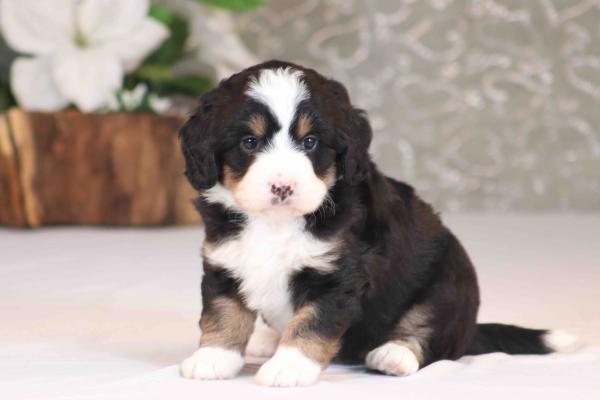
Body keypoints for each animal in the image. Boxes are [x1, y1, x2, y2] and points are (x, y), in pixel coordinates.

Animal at [177, 61, 572, 386]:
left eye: (310, 142)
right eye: (249, 142)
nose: (282, 186)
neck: (276, 224)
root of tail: (470, 327)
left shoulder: (337, 275)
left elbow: (311, 322)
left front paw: (289, 366)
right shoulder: (224, 262)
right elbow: (223, 312)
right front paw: (213, 357)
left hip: (448, 283)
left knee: (429, 331)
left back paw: (394, 354)